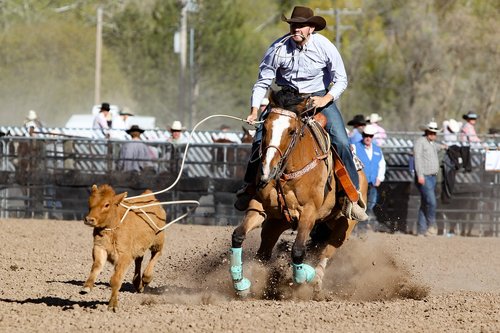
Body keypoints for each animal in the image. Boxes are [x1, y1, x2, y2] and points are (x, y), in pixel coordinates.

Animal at [229, 89, 368, 294]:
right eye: (266, 128)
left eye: (291, 131)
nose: (267, 170)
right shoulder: (258, 207)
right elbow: (238, 235)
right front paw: (241, 283)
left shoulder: (309, 213)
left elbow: (298, 250)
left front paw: (304, 277)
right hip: (277, 222)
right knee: (263, 253)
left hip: (345, 226)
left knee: (326, 251)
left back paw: (316, 281)